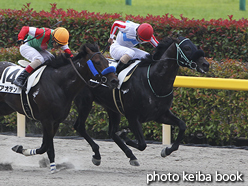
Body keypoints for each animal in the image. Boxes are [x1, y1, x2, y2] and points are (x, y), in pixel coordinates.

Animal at [0, 42, 119, 173]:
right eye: (97, 62)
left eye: (107, 62)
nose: (115, 80)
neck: (58, 83)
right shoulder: (47, 120)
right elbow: (47, 147)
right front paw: (52, 168)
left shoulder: (55, 121)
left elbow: (45, 146)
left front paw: (21, 149)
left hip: (5, 109)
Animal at [73, 36, 209, 166]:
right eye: (186, 48)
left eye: (194, 45)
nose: (205, 64)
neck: (153, 81)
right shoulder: (133, 116)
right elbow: (142, 144)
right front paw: (125, 134)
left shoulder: (160, 114)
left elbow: (182, 125)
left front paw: (166, 151)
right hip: (85, 102)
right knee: (80, 126)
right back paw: (97, 155)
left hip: (112, 108)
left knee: (111, 132)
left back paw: (130, 155)